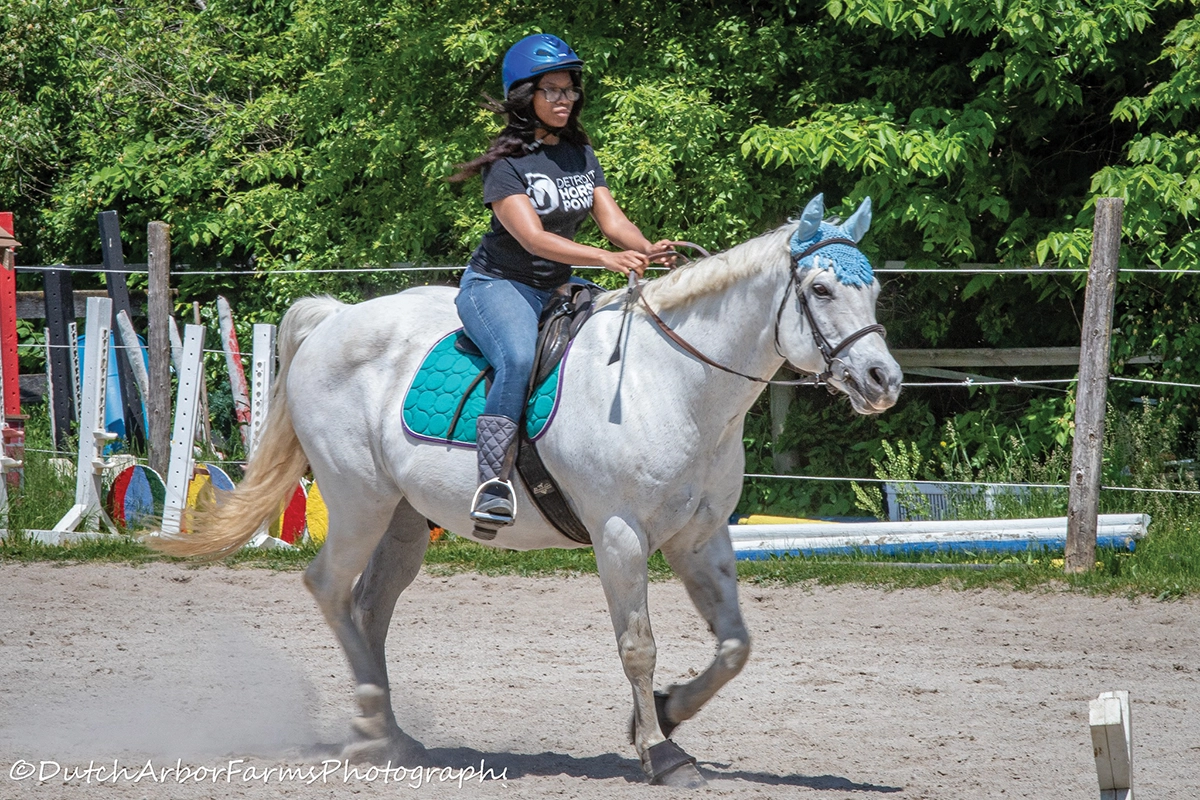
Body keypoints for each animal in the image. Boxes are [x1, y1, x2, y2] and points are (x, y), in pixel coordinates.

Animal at [152, 193, 902, 788]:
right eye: (822, 291)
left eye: (872, 293)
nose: (883, 380)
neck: (674, 384)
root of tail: (333, 318)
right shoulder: (620, 536)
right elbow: (638, 645)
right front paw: (661, 754)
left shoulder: (701, 537)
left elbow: (734, 646)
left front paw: (666, 712)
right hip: (359, 500)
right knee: (330, 588)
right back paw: (368, 727)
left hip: (402, 519)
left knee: (370, 607)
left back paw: (392, 732)